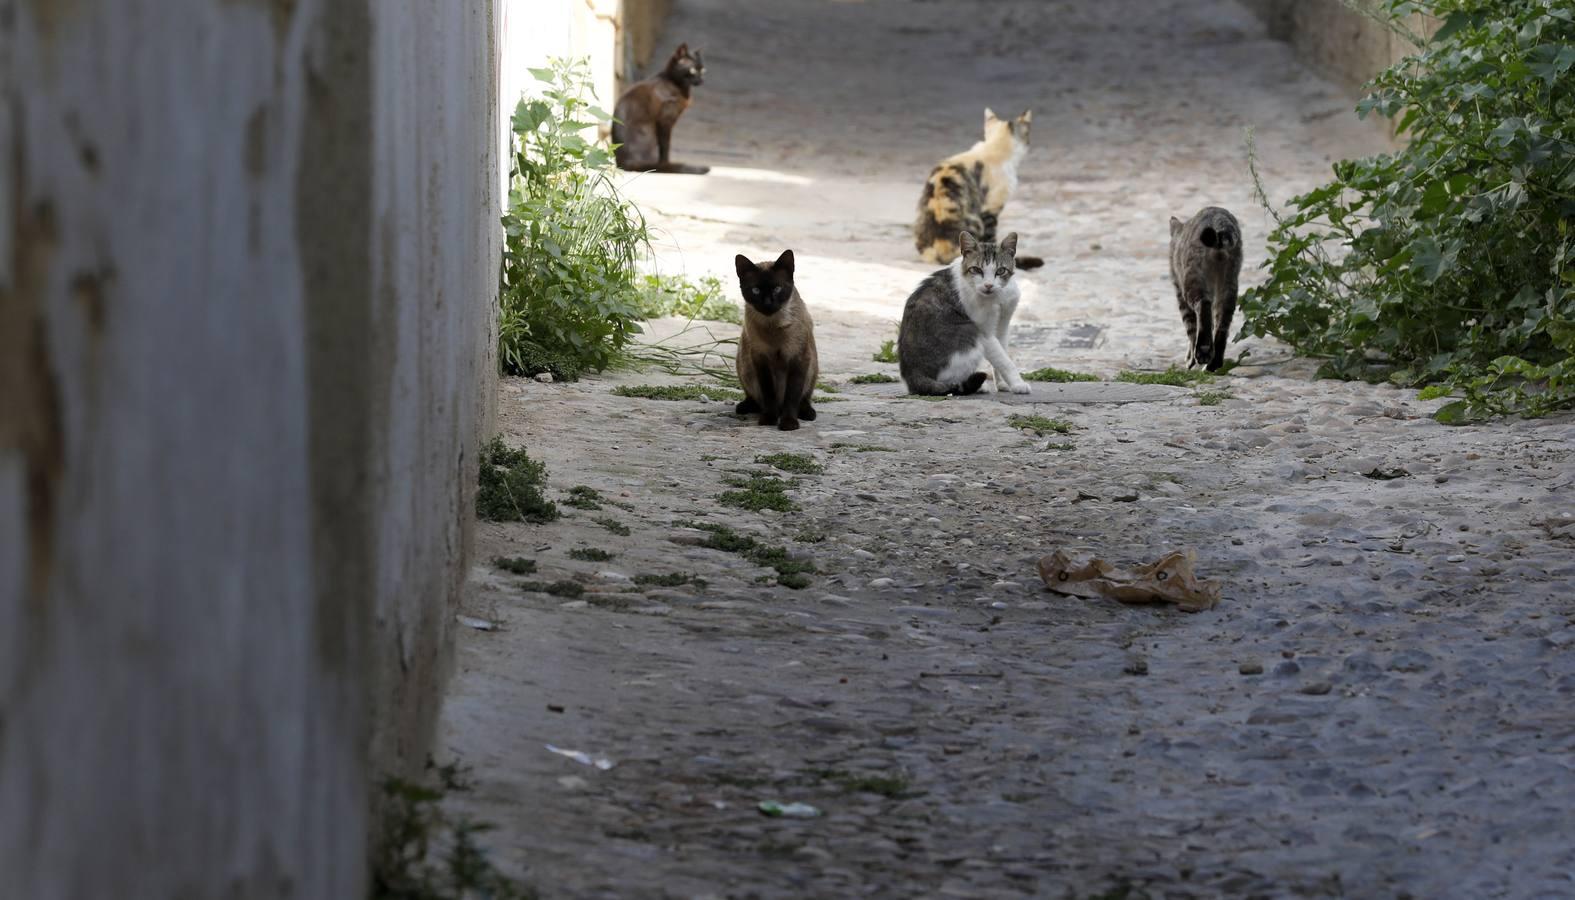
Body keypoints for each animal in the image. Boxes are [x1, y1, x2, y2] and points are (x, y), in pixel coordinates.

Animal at [611, 43, 711, 175]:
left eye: (703, 70)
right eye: (693, 70)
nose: (701, 80)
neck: (677, 84)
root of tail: (625, 163)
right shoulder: (665, 121)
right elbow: (665, 146)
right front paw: (666, 163)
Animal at [730, 245, 819, 428]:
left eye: (777, 289)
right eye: (756, 290)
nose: (768, 303)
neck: (773, 325)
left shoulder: (798, 358)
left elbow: (792, 396)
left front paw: (788, 424)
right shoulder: (761, 360)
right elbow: (768, 394)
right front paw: (769, 419)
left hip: (812, 367)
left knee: (803, 398)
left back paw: (807, 413)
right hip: (744, 364)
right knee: (756, 398)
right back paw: (746, 407)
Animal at [900, 231, 1033, 397]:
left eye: (1001, 271)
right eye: (976, 269)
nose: (988, 285)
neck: (997, 297)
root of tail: (912, 375)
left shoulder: (1003, 325)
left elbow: (1002, 354)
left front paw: (1003, 384)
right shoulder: (985, 333)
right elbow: (1004, 360)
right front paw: (1018, 384)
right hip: (970, 335)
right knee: (946, 380)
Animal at [1171, 206, 1241, 371]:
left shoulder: (1180, 292)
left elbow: (1191, 328)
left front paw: (1190, 360)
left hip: (1193, 280)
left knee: (1203, 307)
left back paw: (1203, 353)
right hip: (1229, 283)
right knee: (1222, 325)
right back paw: (1214, 363)